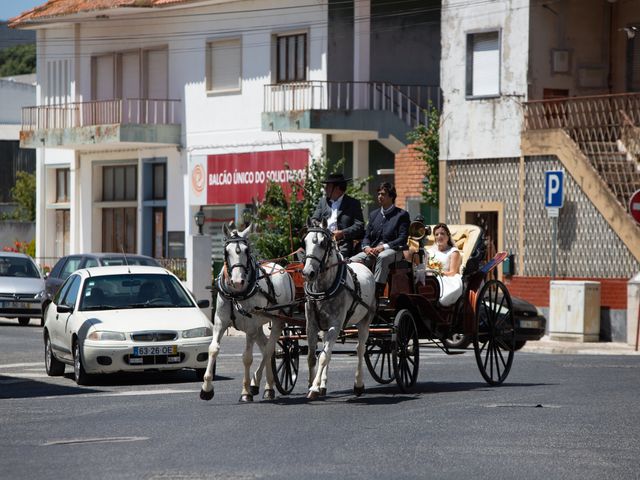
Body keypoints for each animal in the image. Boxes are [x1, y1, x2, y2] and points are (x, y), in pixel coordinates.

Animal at [200, 224, 296, 402]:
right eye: (226, 251)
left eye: (246, 250)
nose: (238, 281)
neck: (236, 294)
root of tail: (283, 270)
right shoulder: (220, 323)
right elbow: (213, 349)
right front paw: (206, 388)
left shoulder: (250, 327)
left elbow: (247, 357)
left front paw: (245, 391)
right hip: (259, 325)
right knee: (265, 348)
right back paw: (268, 387)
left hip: (277, 320)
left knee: (269, 350)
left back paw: (256, 383)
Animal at [302, 218, 378, 398]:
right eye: (304, 241)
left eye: (323, 243)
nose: (308, 273)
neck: (323, 289)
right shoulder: (312, 325)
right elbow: (312, 356)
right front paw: (312, 384)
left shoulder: (335, 325)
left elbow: (323, 357)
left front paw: (313, 388)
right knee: (327, 350)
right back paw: (323, 385)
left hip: (365, 319)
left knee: (360, 349)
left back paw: (358, 384)